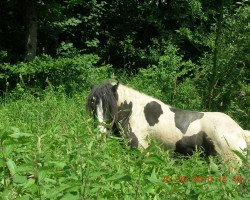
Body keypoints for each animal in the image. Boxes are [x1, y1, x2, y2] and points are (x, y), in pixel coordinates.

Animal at [86, 81, 250, 164]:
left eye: (110, 107)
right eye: (93, 105)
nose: (101, 134)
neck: (134, 112)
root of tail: (240, 131)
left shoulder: (141, 150)